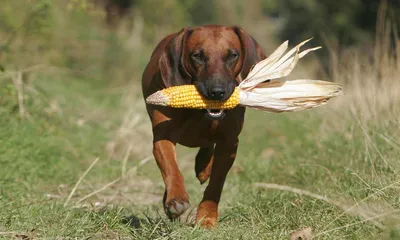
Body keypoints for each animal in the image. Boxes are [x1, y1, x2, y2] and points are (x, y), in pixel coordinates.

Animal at [141, 24, 266, 229]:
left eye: (232, 55)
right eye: (197, 55)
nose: (217, 92)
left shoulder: (229, 143)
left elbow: (216, 183)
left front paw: (206, 217)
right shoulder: (163, 136)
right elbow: (171, 168)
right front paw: (175, 199)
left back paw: (203, 167)